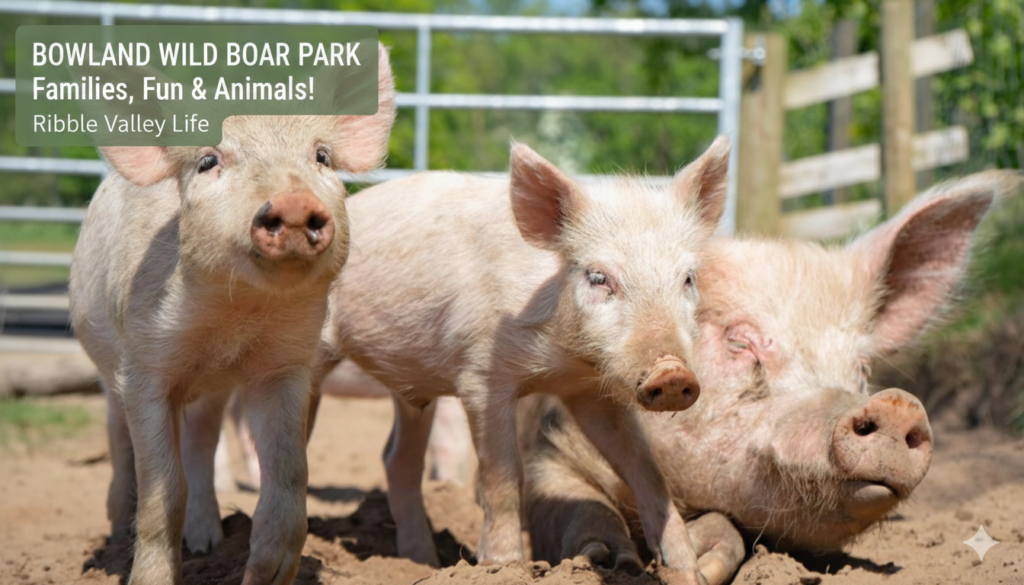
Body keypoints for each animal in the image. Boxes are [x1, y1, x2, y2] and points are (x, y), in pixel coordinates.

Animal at [68, 45, 396, 585]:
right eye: (207, 160)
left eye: (321, 156)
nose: (294, 202)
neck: (234, 319)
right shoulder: (145, 368)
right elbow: (162, 491)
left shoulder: (285, 367)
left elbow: (288, 481)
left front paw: (264, 573)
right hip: (105, 366)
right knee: (119, 439)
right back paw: (116, 538)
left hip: (213, 394)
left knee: (202, 444)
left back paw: (206, 542)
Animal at [317, 137, 732, 581]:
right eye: (598, 277)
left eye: (687, 279)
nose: (671, 373)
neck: (560, 360)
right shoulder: (480, 375)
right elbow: (502, 477)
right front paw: (502, 566)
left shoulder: (590, 393)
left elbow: (647, 472)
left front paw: (687, 573)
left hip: (411, 386)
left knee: (397, 460)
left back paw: (421, 562)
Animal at [523, 171, 1022, 585]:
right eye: (741, 342)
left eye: (861, 368)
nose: (898, 405)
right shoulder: (548, 447)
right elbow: (579, 509)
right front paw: (613, 560)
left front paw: (701, 563)